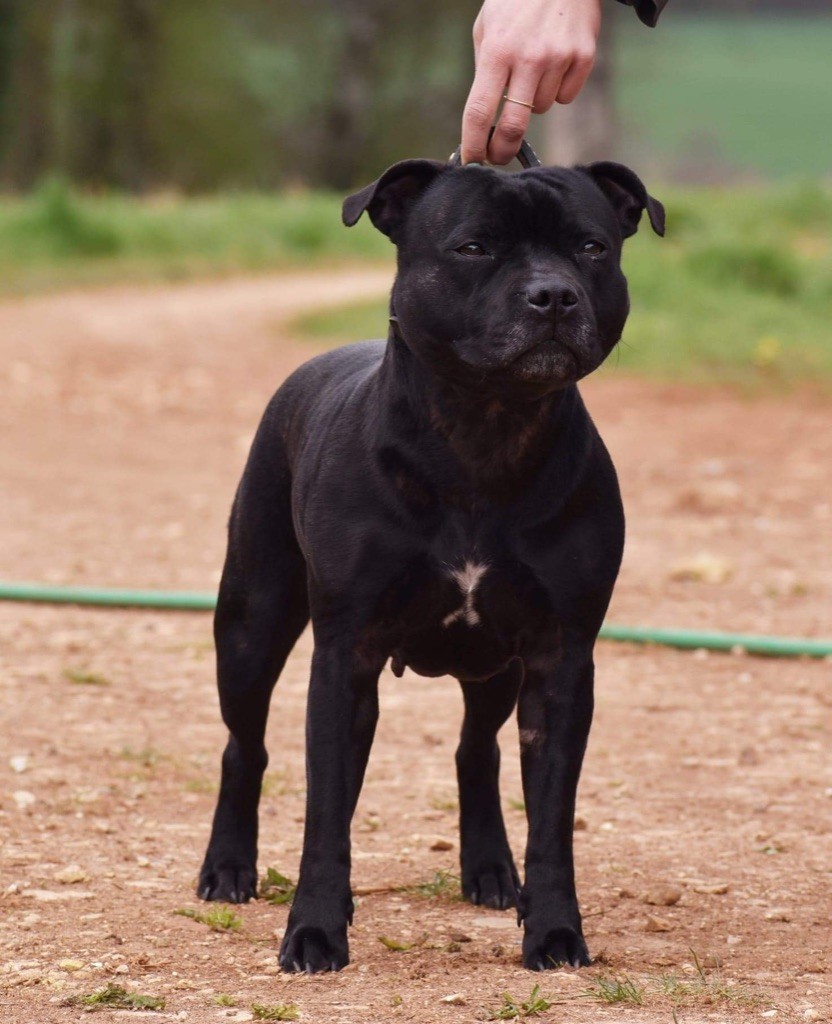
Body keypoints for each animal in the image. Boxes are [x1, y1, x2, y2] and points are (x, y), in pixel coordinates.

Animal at [197, 155, 668, 970]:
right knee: (245, 747)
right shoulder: (344, 655)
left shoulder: (560, 660)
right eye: (473, 248)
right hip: (252, 622)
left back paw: (491, 871)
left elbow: (552, 820)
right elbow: (326, 812)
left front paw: (555, 930)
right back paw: (228, 868)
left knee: (475, 749)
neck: (485, 431)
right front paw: (314, 929)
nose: (553, 295)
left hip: (497, 666)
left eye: (592, 247)